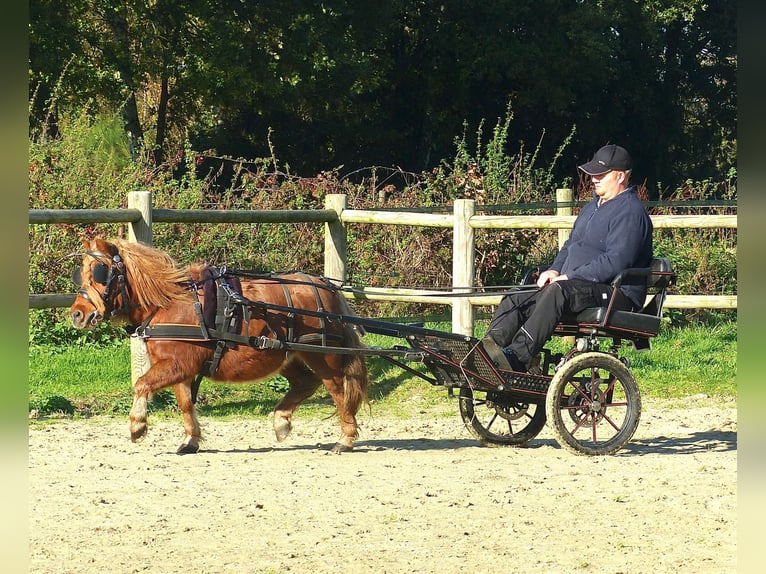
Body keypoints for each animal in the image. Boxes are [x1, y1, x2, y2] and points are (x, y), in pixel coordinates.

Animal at [70, 237, 370, 454]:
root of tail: (325, 286)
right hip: (285, 355)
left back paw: (345, 438)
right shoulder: (181, 368)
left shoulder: (178, 364)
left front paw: (137, 426)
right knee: (306, 383)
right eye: (80, 274)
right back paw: (282, 421)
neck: (169, 303)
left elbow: (142, 384)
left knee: (339, 391)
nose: (76, 314)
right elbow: (184, 402)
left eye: (99, 272)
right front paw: (190, 440)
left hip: (322, 356)